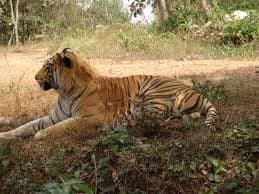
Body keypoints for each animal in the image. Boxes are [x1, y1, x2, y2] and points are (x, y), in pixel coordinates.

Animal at [0, 48, 217, 139]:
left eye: (47, 66)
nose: (34, 77)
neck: (65, 92)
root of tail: (196, 92)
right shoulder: (54, 116)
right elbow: (27, 125)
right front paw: (5, 135)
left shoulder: (88, 117)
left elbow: (61, 127)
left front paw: (41, 134)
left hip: (152, 92)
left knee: (155, 118)